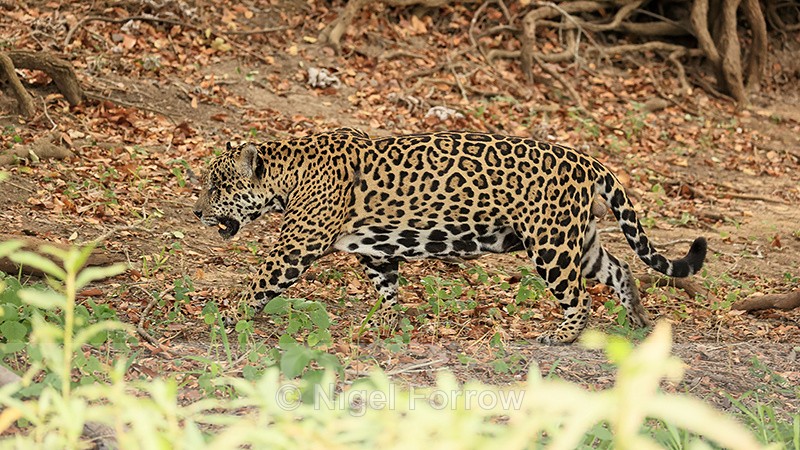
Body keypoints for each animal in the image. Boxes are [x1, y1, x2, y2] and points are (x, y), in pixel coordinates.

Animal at [193, 128, 707, 344]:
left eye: (217, 187)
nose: (197, 212)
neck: (289, 172)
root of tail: (587, 160)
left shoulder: (295, 246)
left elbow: (260, 281)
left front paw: (227, 317)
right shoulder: (375, 248)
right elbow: (386, 285)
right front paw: (386, 323)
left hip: (551, 243)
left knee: (577, 296)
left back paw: (561, 336)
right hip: (577, 239)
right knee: (619, 268)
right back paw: (638, 317)